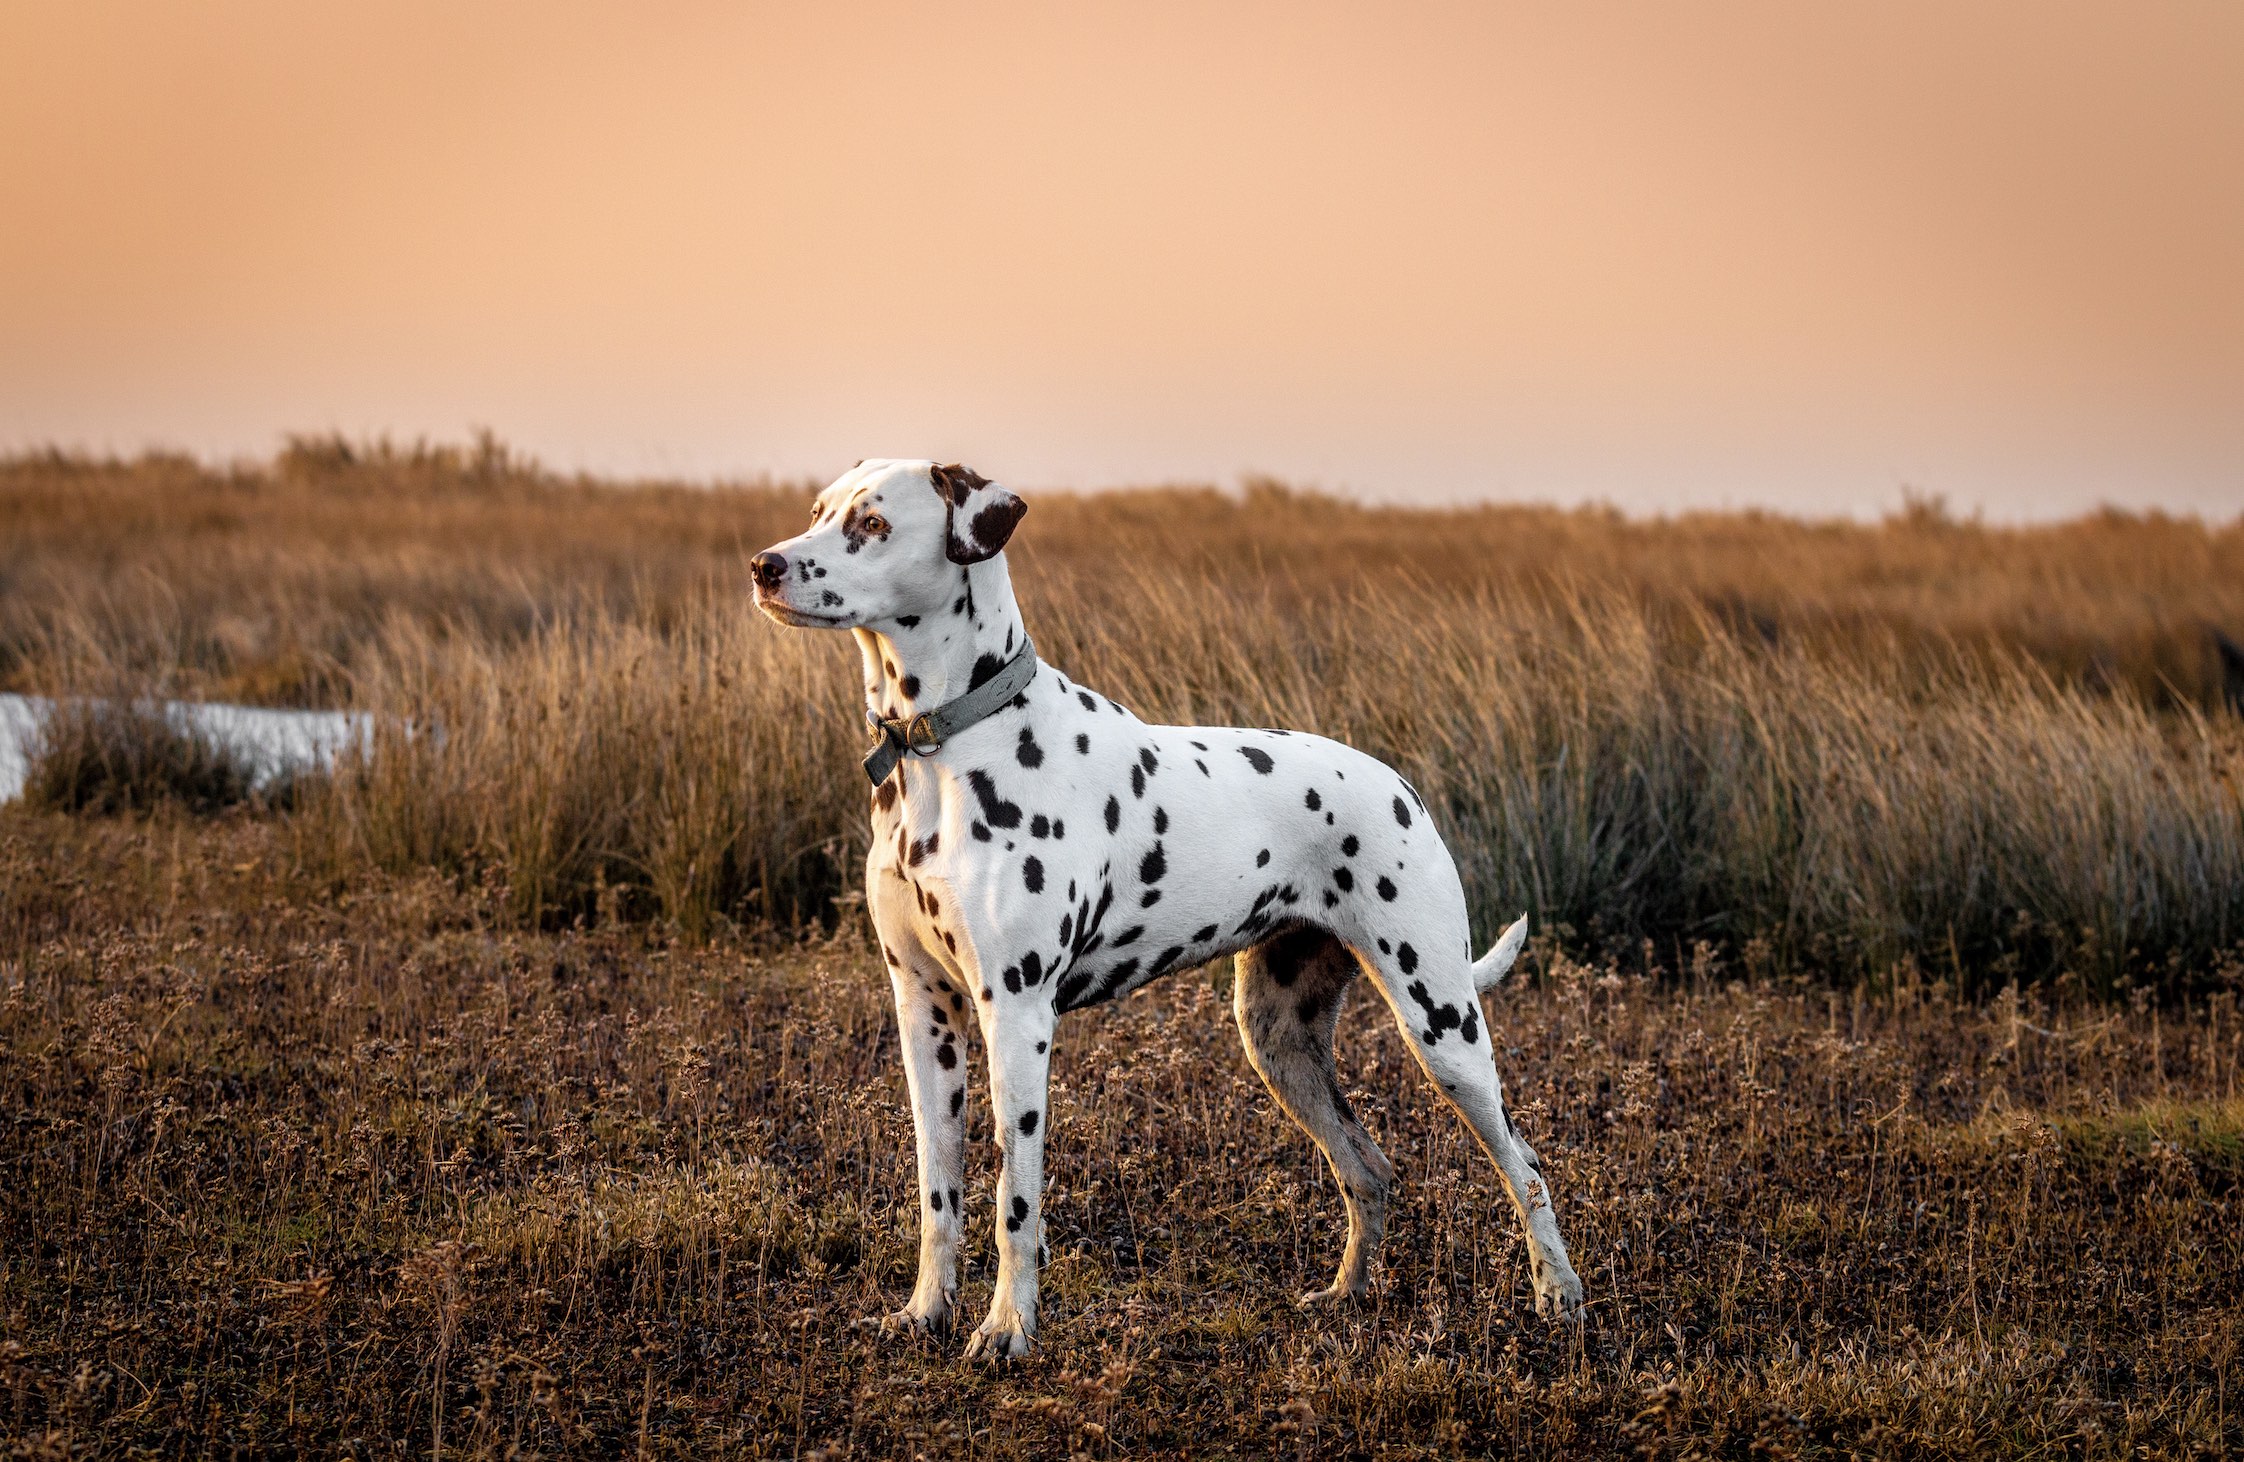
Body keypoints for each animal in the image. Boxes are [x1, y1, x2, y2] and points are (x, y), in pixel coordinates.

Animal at [753, 457, 1579, 1363]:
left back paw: (1559, 1297)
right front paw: (926, 1312)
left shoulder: (1017, 1013)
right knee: (1368, 1168)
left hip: (1442, 1027)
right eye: (817, 511)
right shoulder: (923, 1010)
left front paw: (1008, 1330)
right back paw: (1345, 1296)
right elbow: (940, 1191)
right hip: (1278, 1041)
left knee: (1527, 1165)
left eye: (871, 524)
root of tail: (1402, 788)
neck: (943, 748)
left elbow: (1015, 1201)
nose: (764, 565)